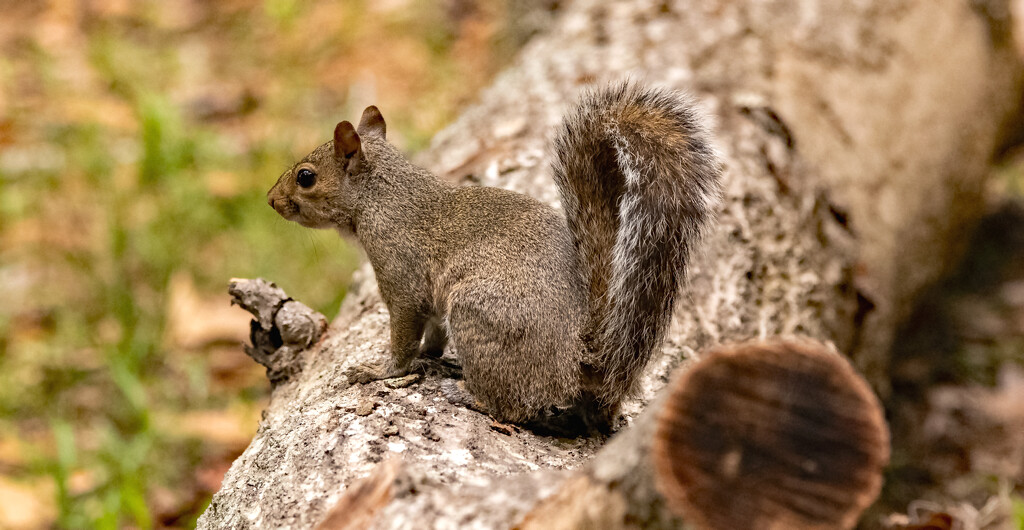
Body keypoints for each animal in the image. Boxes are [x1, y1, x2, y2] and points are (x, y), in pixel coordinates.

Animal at [268, 80, 724, 433]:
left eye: (305, 177)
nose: (271, 201)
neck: (382, 195)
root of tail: (583, 357)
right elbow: (433, 331)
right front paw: (431, 356)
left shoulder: (401, 276)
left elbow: (403, 333)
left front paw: (380, 371)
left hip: (480, 317)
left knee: (516, 407)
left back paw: (468, 395)